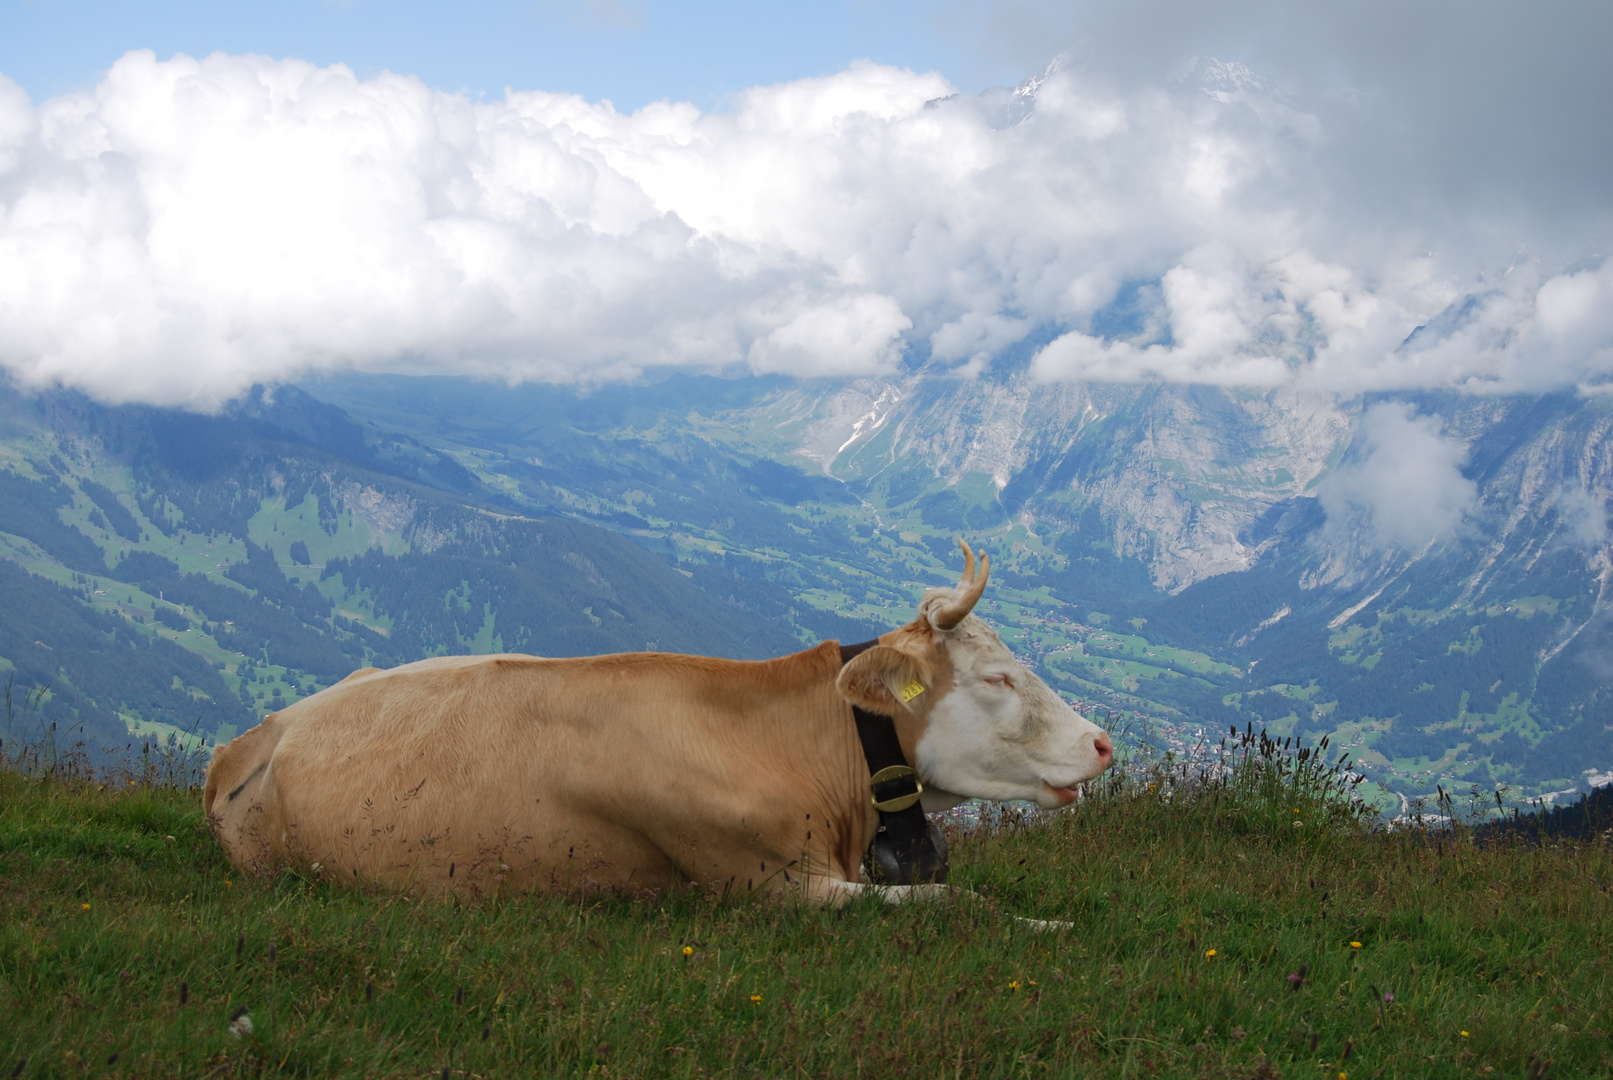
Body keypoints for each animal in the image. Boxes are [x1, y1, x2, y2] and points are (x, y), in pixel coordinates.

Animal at [201, 541, 1116, 902]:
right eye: (997, 676)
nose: (1102, 743)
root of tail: (250, 741)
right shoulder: (775, 884)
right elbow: (964, 903)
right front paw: (1051, 921)